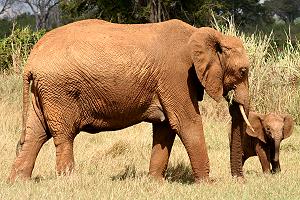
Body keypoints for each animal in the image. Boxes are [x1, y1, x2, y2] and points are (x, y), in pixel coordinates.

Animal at [8, 19, 251, 183]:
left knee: (35, 133)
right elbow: (186, 123)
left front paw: (155, 183)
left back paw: (18, 182)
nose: (240, 180)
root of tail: (31, 61)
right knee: (63, 135)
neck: (202, 34)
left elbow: (165, 127)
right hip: (59, 90)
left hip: (42, 91)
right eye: (243, 71)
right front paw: (207, 185)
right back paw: (68, 182)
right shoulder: (177, 75)